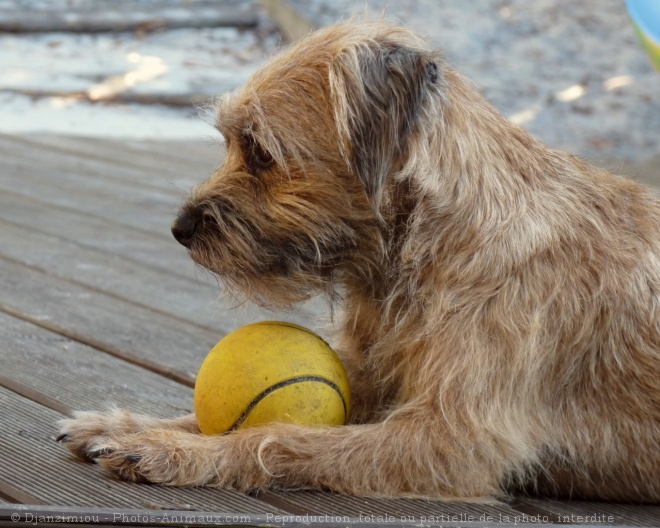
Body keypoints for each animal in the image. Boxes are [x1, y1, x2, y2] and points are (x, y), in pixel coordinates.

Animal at [58, 19, 660, 500]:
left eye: (260, 150)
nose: (179, 229)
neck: (419, 247)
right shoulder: (372, 376)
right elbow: (210, 417)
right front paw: (128, 425)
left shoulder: (449, 440)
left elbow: (276, 437)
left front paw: (179, 453)